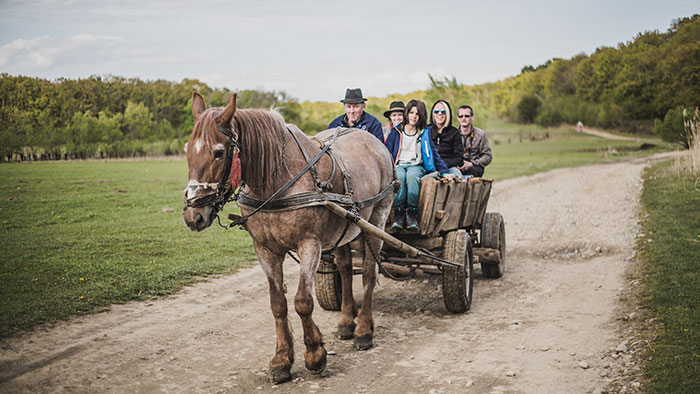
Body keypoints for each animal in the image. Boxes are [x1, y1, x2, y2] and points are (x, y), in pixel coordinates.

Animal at [183, 92, 396, 382]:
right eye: (187, 150)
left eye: (218, 152)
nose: (192, 215)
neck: (277, 180)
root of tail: (374, 143)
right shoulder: (264, 249)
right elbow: (278, 304)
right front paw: (282, 359)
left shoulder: (310, 244)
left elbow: (302, 301)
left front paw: (315, 354)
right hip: (342, 231)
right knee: (345, 269)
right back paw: (345, 322)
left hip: (377, 218)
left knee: (369, 274)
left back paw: (363, 330)